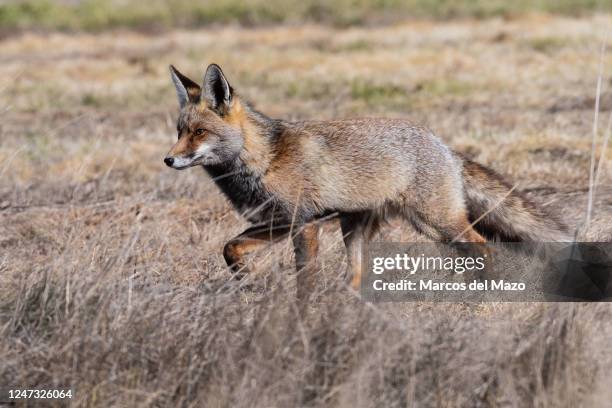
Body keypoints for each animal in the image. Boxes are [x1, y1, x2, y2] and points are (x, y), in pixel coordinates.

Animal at [163, 63, 568, 296]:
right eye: (180, 131)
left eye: (199, 133)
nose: (169, 159)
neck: (265, 160)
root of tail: (446, 147)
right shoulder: (279, 222)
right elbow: (230, 247)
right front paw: (249, 282)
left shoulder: (304, 225)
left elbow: (305, 282)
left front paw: (300, 319)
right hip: (355, 228)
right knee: (356, 278)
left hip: (435, 223)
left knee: (483, 248)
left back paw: (481, 298)